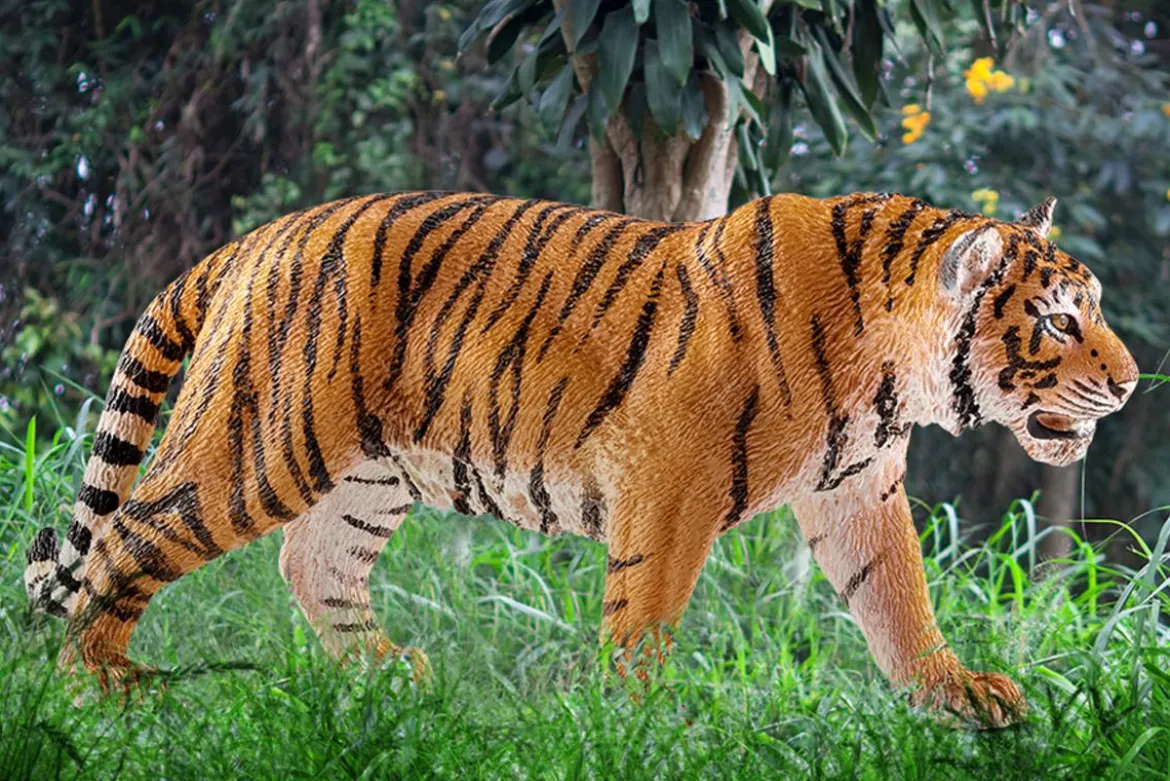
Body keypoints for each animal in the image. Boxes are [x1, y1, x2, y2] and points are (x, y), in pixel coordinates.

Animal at [25, 190, 1137, 728]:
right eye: (1058, 318)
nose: (1131, 384)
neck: (893, 370)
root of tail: (254, 238)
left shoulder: (858, 489)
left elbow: (898, 600)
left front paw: (956, 698)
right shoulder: (669, 482)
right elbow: (643, 614)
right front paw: (639, 726)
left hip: (368, 473)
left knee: (313, 562)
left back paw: (391, 679)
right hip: (262, 445)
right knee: (129, 534)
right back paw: (100, 689)